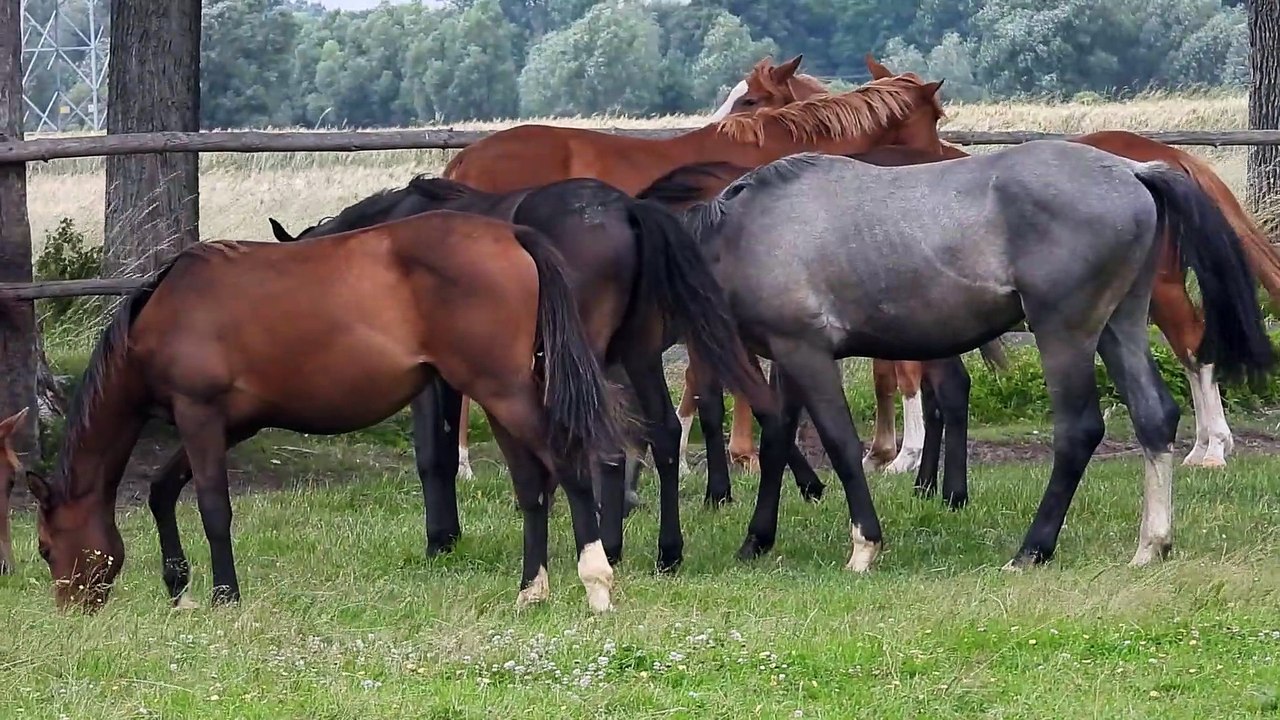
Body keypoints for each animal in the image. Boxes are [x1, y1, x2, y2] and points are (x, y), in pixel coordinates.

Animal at [26, 210, 630, 614]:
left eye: (44, 547)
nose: (73, 611)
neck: (162, 313)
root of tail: (510, 234)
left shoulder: (199, 416)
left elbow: (212, 507)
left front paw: (225, 596)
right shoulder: (231, 424)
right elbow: (161, 490)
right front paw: (179, 589)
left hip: (503, 391)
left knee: (569, 466)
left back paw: (596, 584)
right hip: (500, 396)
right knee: (531, 486)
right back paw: (532, 591)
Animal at [265, 174, 777, 573]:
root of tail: (626, 208)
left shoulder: (433, 379)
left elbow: (433, 455)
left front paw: (440, 539)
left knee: (609, 445)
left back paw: (607, 547)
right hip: (638, 353)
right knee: (665, 433)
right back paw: (667, 552)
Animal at [656, 140, 1274, 572]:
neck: (747, 231)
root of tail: (1132, 170)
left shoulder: (806, 352)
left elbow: (838, 444)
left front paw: (864, 546)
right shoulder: (785, 359)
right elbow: (778, 441)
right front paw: (756, 540)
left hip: (1065, 333)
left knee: (1079, 431)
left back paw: (1033, 549)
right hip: (1118, 327)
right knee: (1154, 418)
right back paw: (1151, 544)